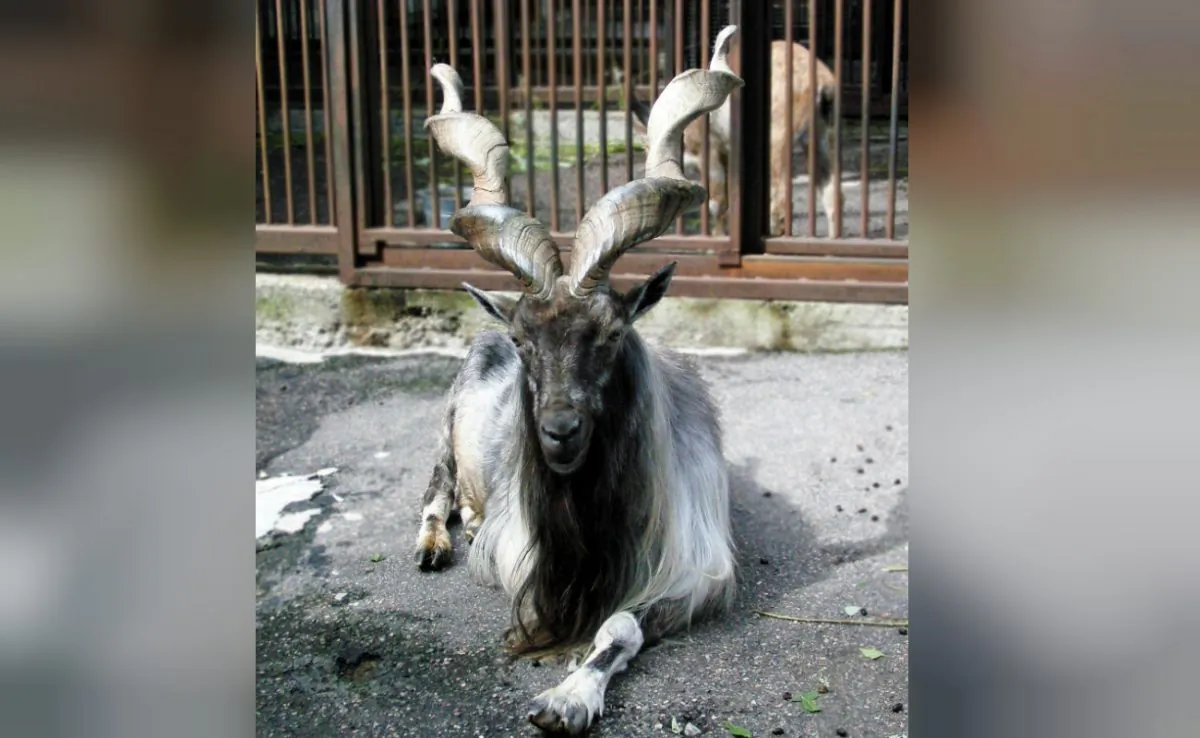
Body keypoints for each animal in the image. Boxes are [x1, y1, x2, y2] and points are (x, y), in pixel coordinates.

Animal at [413, 26, 744, 735]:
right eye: (522, 341)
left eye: (612, 334)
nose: (560, 433)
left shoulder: (693, 573)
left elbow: (620, 628)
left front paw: (567, 700)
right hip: (446, 430)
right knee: (435, 493)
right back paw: (436, 542)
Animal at [631, 36, 841, 238]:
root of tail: (822, 81)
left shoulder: (712, 153)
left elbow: (717, 203)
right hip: (822, 137)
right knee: (832, 193)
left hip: (778, 140)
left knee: (781, 198)